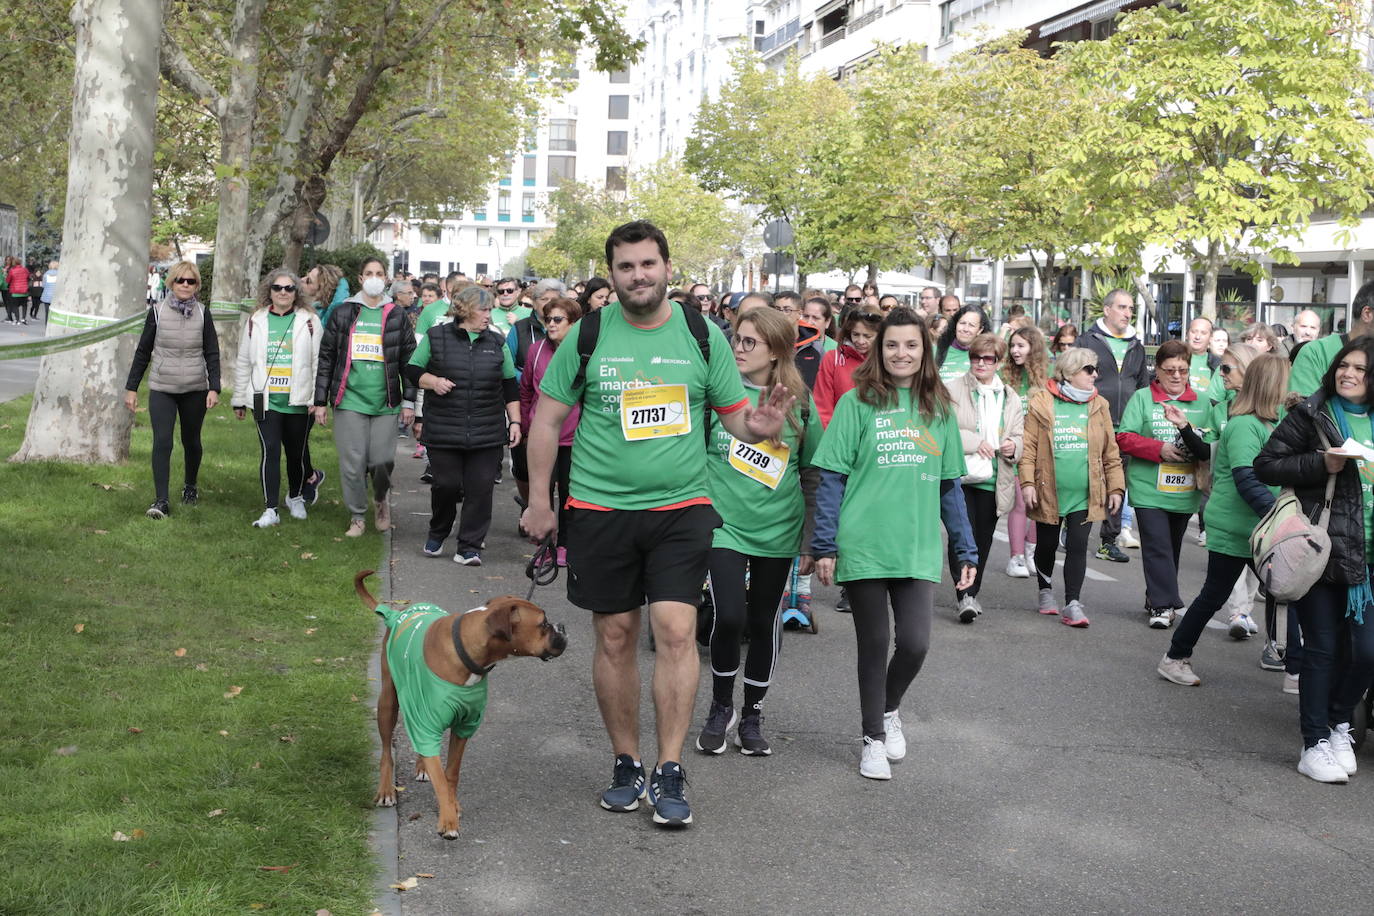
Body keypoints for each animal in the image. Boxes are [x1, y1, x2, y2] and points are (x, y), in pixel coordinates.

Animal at [359, 568, 568, 840]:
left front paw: (452, 803)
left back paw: (421, 766)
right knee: (386, 750)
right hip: (388, 700)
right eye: (543, 624)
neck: (466, 651)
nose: (562, 627)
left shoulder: (464, 727)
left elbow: (451, 773)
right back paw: (386, 790)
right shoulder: (429, 720)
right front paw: (448, 820)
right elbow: (440, 778)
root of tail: (396, 614)